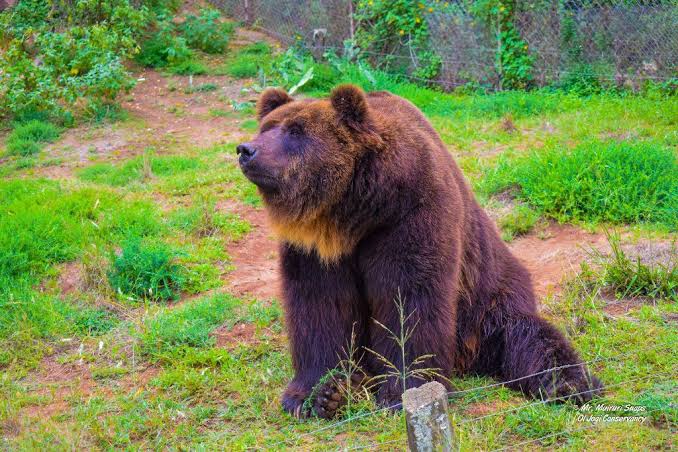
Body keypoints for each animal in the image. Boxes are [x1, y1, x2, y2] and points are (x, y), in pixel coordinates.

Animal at [236, 84, 602, 419]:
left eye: (296, 131)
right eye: (267, 127)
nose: (246, 149)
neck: (354, 214)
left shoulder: (411, 215)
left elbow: (409, 301)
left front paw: (402, 392)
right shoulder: (314, 248)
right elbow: (319, 307)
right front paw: (319, 394)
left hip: (490, 305)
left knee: (531, 338)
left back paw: (569, 384)